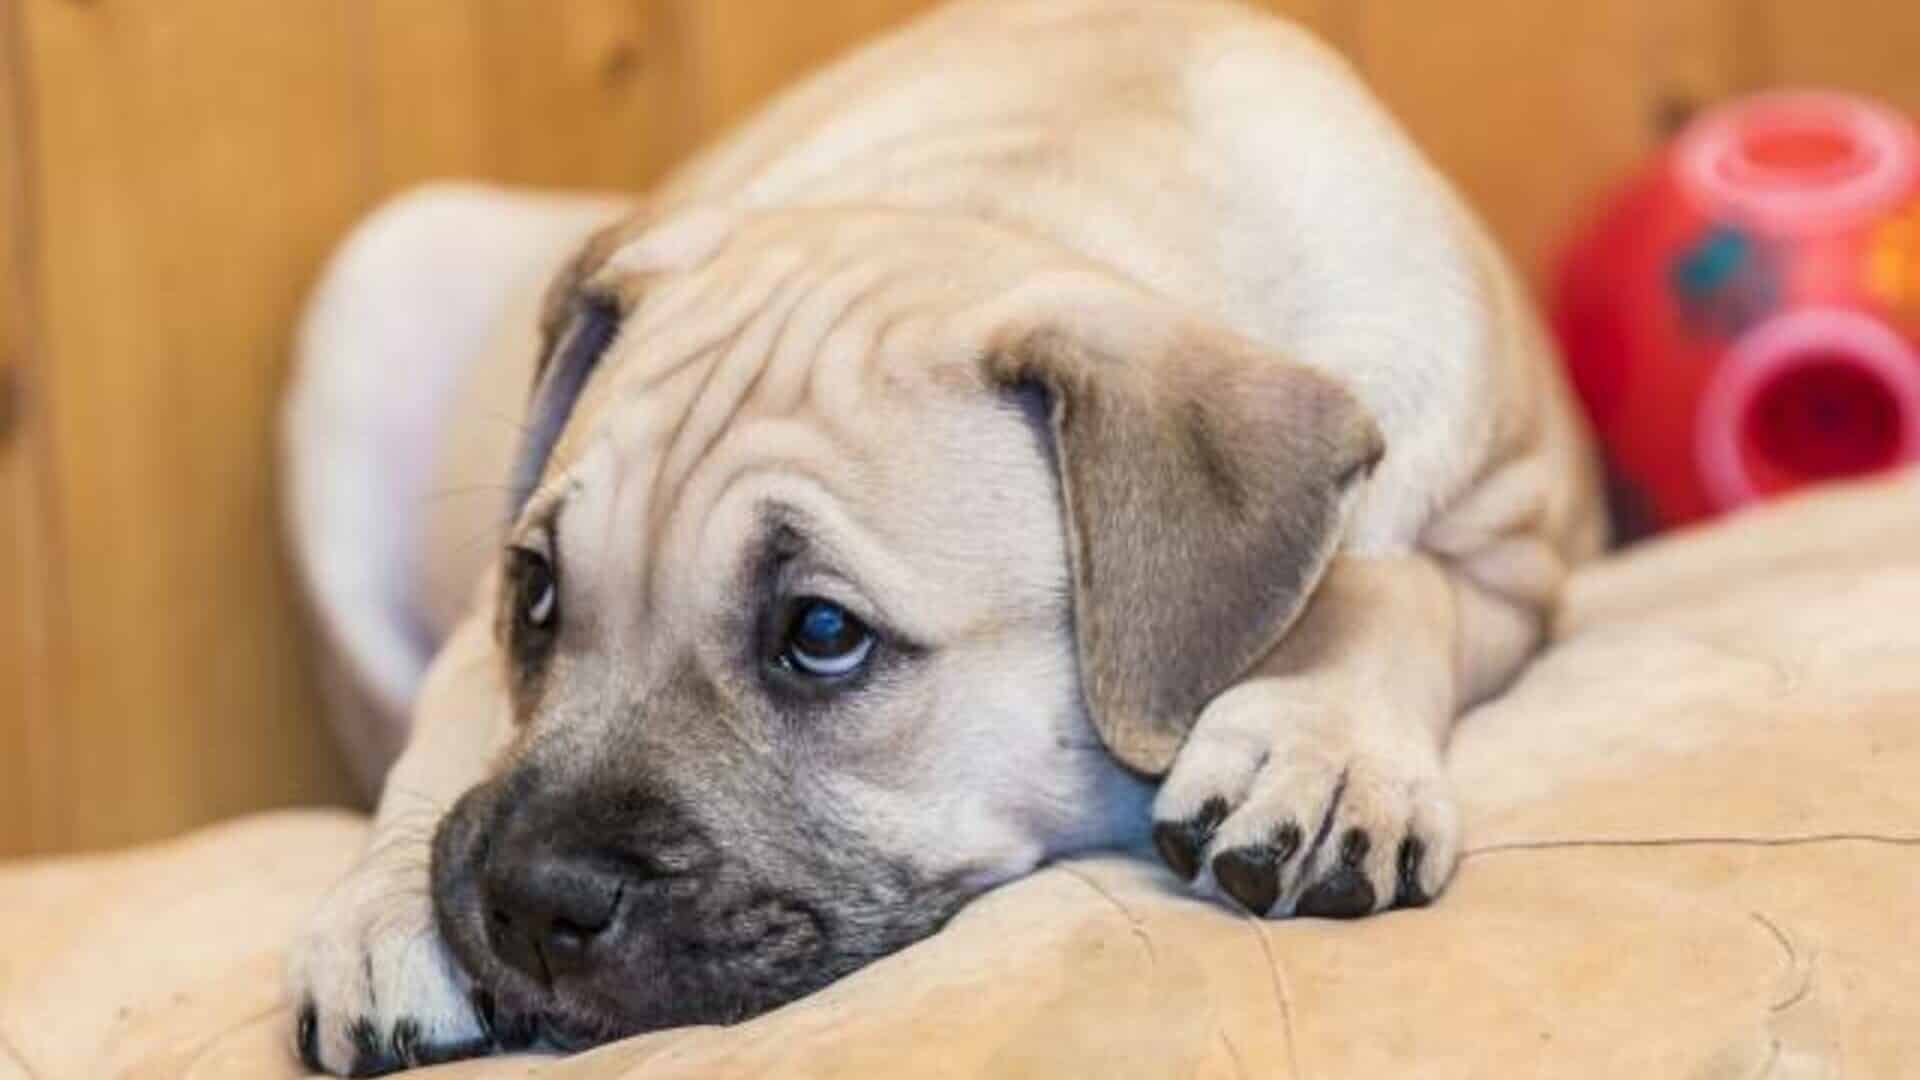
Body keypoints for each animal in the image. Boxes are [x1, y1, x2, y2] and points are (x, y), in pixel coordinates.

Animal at [284, 2, 1605, 1068]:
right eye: (538, 596)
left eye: (822, 632)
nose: (523, 902)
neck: (1029, 190)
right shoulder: (474, 628)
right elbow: (454, 719)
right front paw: (382, 907)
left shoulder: (1515, 546)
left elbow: (1390, 588)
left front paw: (1319, 748)